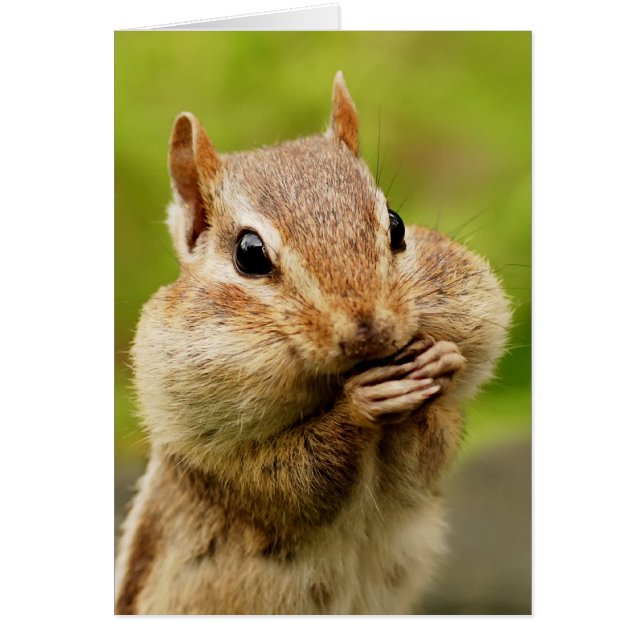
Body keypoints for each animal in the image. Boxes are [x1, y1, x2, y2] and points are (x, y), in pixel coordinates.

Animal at [115, 71, 511, 615]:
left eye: (396, 224)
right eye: (249, 253)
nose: (371, 331)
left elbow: (429, 458)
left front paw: (440, 360)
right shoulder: (219, 458)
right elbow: (296, 482)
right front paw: (360, 404)